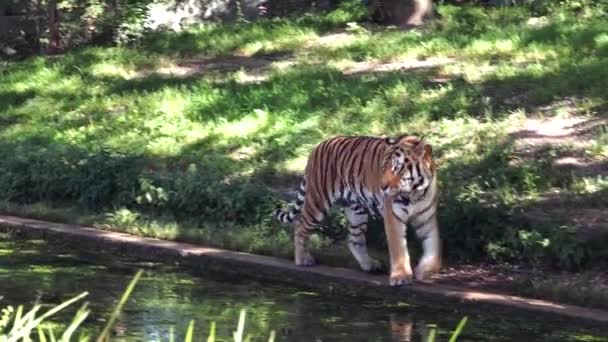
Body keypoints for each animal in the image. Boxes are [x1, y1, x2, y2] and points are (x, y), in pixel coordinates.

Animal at [276, 134, 442, 286]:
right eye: (383, 167)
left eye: (397, 167)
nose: (382, 187)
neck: (416, 192)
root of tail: (318, 146)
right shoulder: (393, 217)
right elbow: (398, 248)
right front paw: (400, 277)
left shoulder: (427, 218)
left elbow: (433, 243)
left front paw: (425, 270)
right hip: (318, 202)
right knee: (300, 226)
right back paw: (302, 259)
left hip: (356, 211)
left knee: (354, 240)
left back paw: (369, 265)